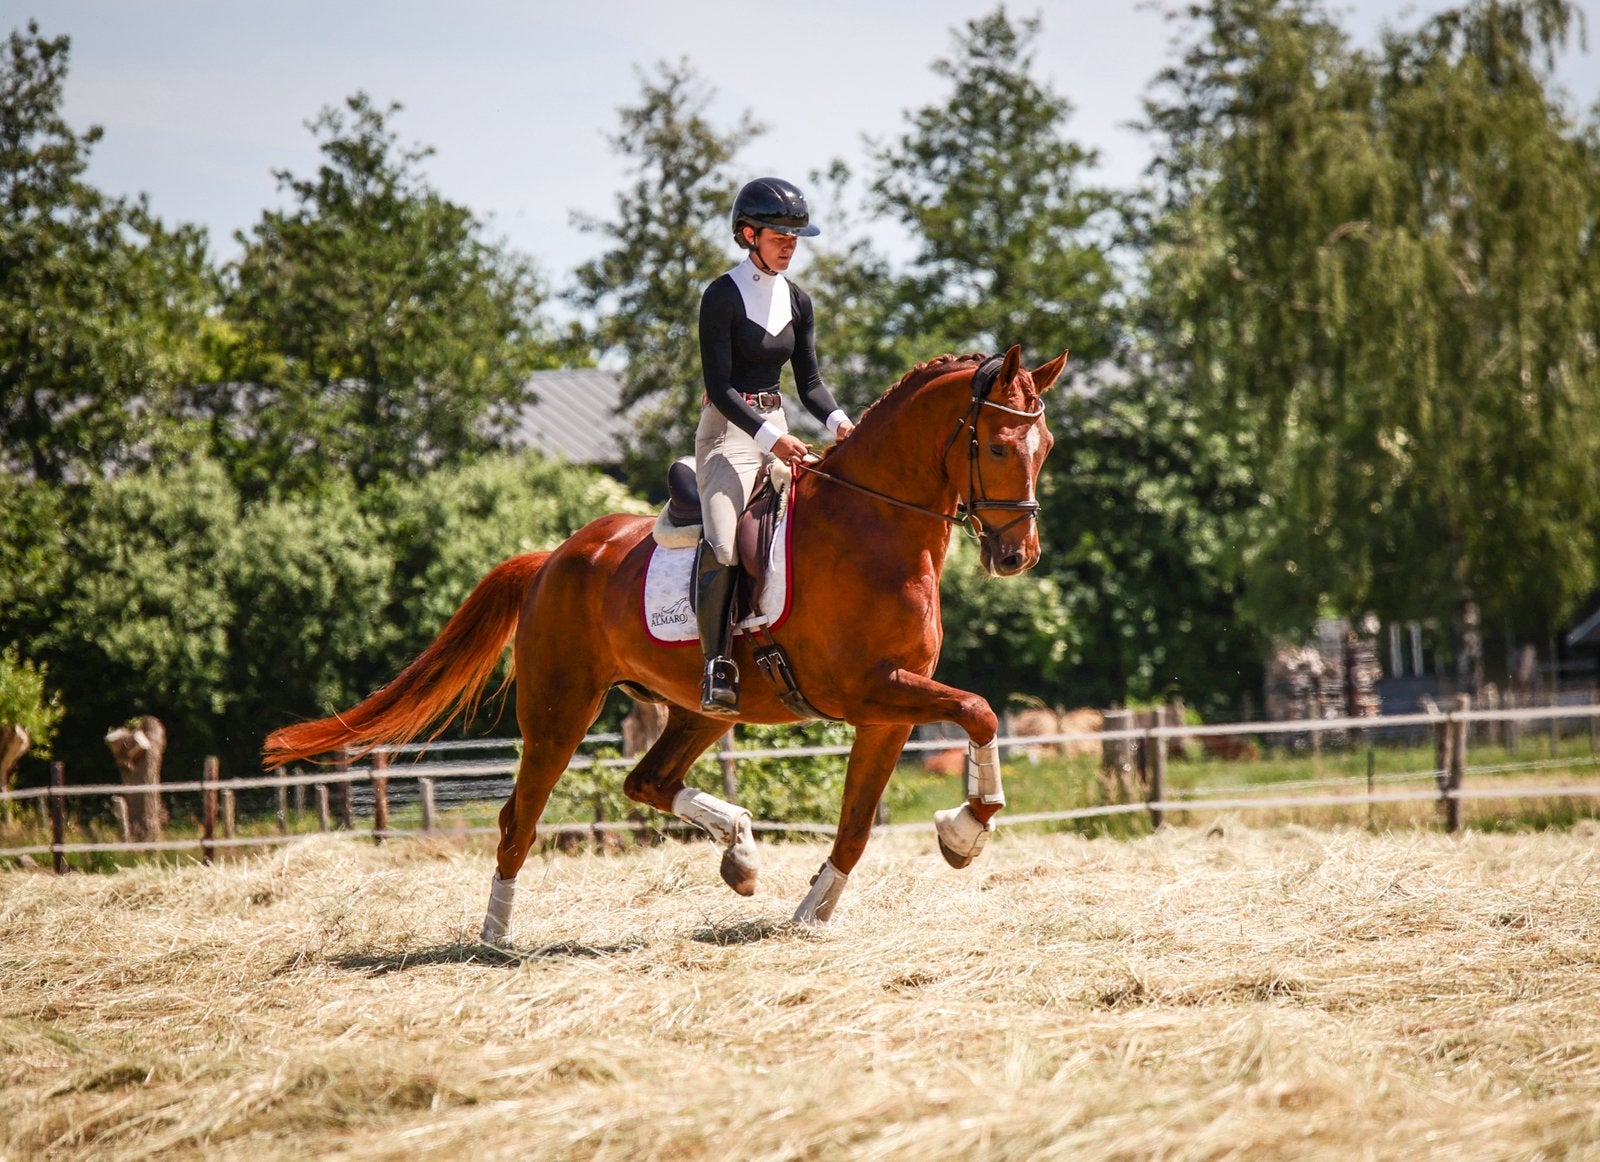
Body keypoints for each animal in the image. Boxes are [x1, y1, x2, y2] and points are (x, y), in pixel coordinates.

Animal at [264, 345, 1067, 939]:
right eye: (1000, 446)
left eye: (1046, 446)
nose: (1018, 555)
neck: (876, 527)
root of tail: (551, 558)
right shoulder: (870, 691)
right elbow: (979, 710)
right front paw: (965, 829)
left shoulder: (887, 712)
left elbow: (858, 824)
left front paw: (822, 905)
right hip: (561, 711)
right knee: (520, 816)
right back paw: (497, 936)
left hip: (700, 708)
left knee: (646, 780)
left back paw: (739, 851)